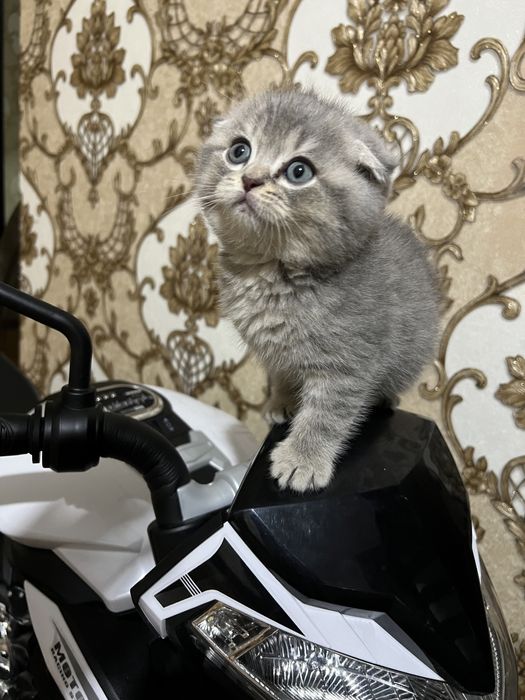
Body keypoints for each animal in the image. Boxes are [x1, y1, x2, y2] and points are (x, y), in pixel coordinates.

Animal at [195, 88, 440, 493]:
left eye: (299, 171)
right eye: (239, 151)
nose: (250, 179)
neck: (272, 275)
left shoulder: (350, 361)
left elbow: (327, 414)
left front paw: (302, 460)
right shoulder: (275, 352)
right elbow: (281, 374)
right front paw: (282, 401)